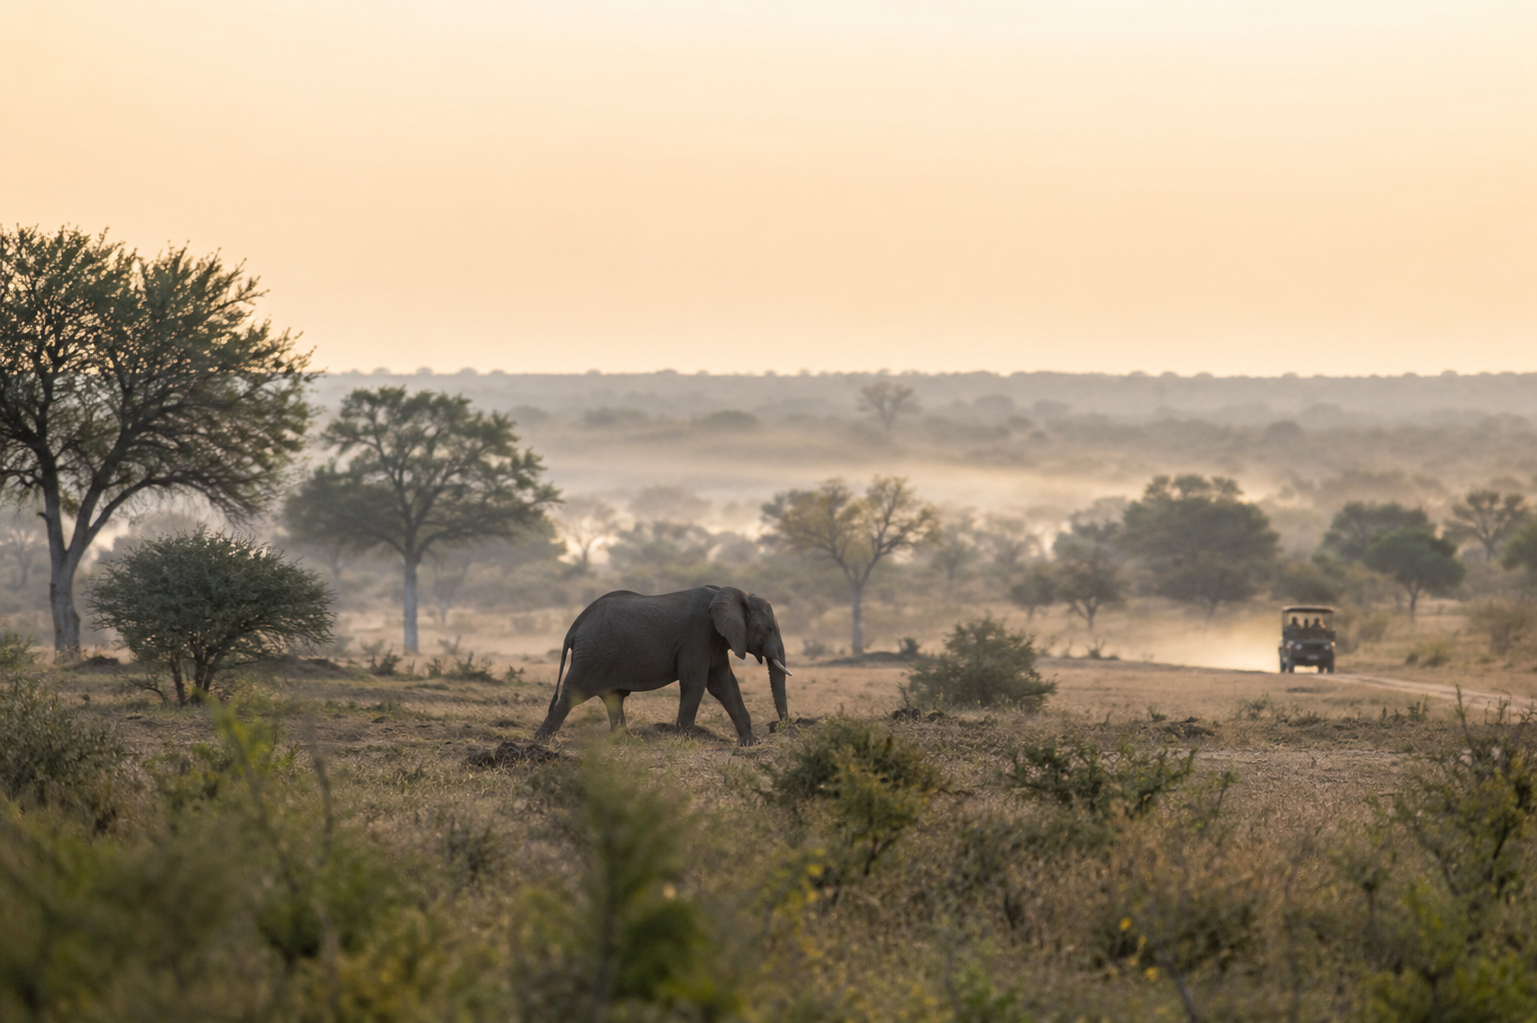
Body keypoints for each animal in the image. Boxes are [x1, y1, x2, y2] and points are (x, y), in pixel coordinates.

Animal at [534, 585, 791, 746]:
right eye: (769, 629)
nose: (779, 728)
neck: (735, 593)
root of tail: (575, 625)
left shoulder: (716, 641)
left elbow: (725, 686)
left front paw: (750, 744)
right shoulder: (697, 637)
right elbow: (695, 684)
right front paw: (682, 742)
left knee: (613, 697)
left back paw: (627, 741)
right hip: (593, 653)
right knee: (573, 695)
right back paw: (542, 741)